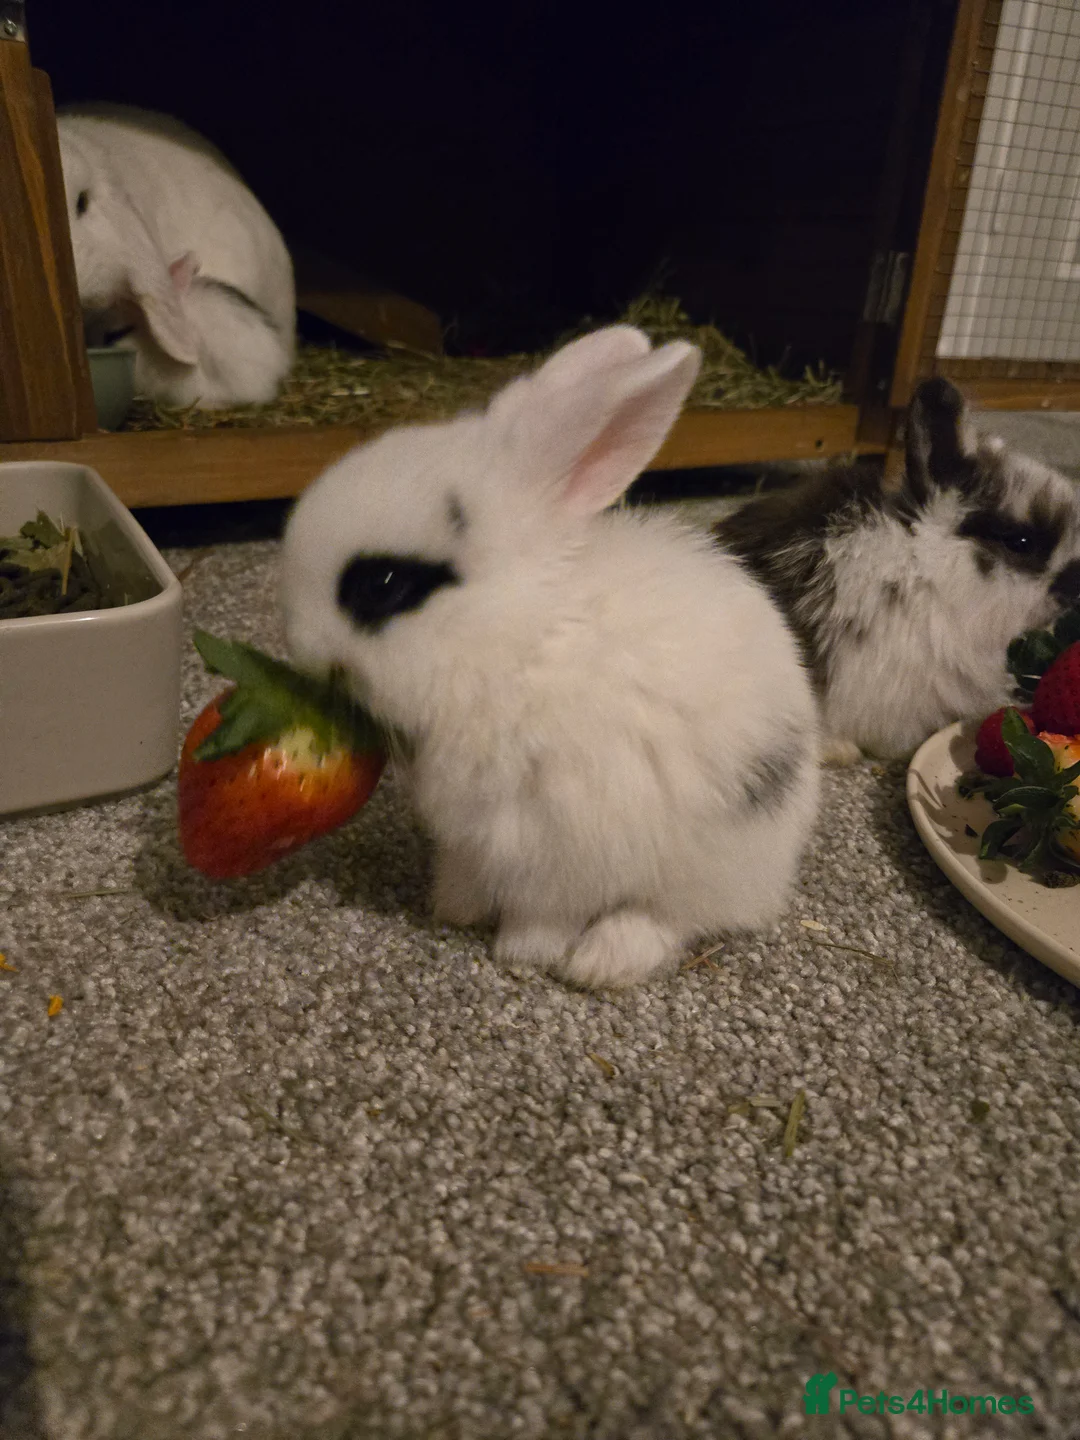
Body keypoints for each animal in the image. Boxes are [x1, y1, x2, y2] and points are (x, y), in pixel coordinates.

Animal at [279, 324, 821, 991]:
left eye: (382, 584)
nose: (297, 642)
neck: (520, 639)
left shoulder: (561, 839)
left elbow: (546, 911)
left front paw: (523, 952)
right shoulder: (474, 834)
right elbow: (468, 871)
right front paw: (453, 907)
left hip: (712, 858)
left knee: (672, 916)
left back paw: (605, 960)